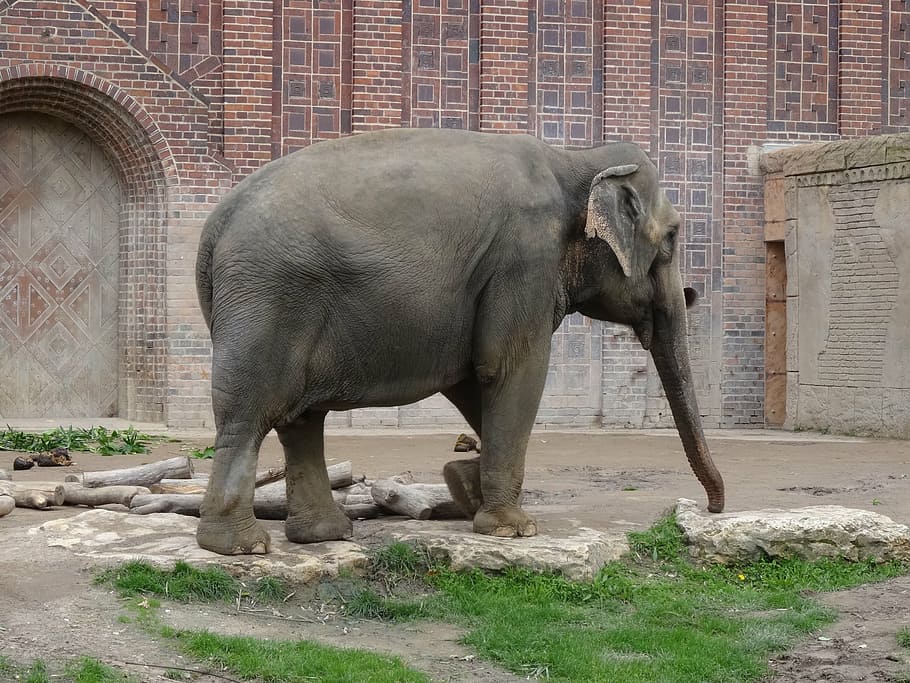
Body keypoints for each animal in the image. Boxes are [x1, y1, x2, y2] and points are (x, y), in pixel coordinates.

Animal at [198, 127, 728, 556]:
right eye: (672, 238)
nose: (713, 508)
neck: (576, 159)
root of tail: (215, 224)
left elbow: (471, 379)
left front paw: (463, 485)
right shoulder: (524, 258)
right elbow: (511, 369)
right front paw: (513, 530)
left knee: (302, 419)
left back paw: (325, 535)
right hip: (268, 299)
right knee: (250, 414)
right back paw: (241, 547)